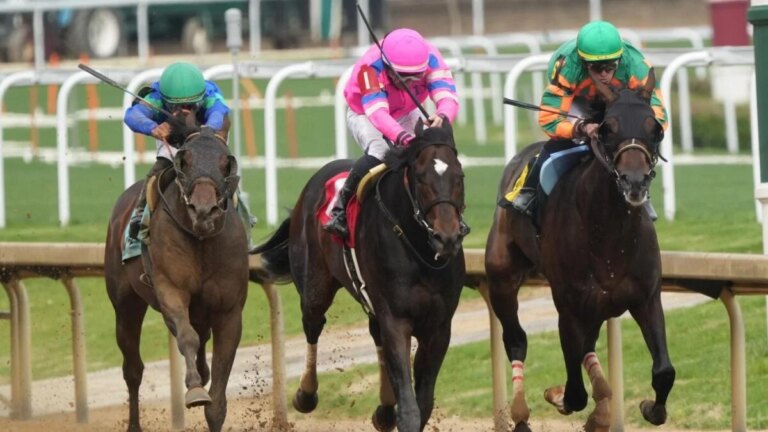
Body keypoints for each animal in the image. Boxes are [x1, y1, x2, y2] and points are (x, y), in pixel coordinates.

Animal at [104, 123, 248, 432]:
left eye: (225, 162)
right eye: (185, 160)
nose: (204, 211)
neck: (201, 239)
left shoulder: (229, 311)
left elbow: (218, 387)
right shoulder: (170, 290)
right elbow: (187, 337)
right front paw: (194, 389)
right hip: (126, 304)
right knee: (133, 369)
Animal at [252, 119, 467, 432]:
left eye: (459, 176)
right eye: (420, 177)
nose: (447, 238)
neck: (420, 250)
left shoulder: (438, 327)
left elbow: (423, 404)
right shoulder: (396, 319)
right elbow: (410, 409)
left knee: (374, 334)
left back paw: (384, 410)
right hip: (315, 287)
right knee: (313, 324)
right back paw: (306, 394)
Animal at [485, 71, 674, 432]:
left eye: (655, 128)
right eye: (607, 128)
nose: (634, 182)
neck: (609, 234)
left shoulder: (646, 297)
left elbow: (664, 371)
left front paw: (649, 408)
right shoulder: (568, 306)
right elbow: (574, 393)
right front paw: (560, 396)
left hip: (597, 306)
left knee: (588, 345)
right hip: (501, 276)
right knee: (516, 340)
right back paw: (520, 412)